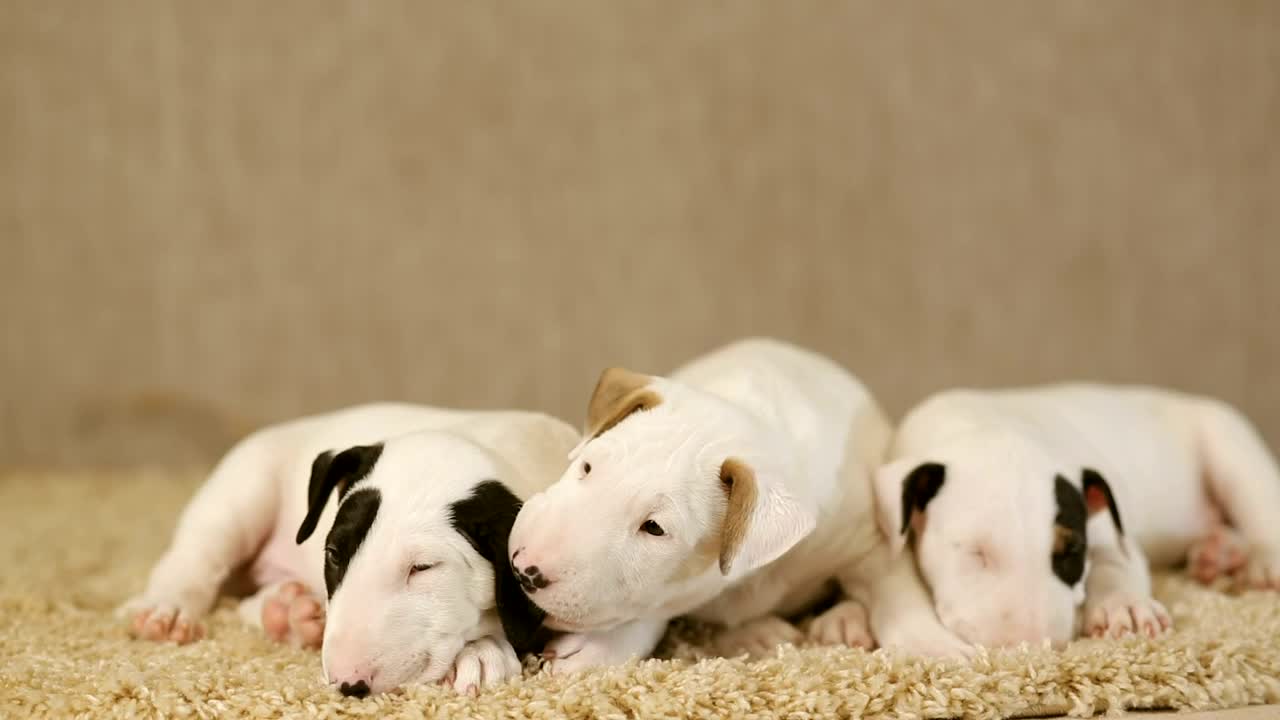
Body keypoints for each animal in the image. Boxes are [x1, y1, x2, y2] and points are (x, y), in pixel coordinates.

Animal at [120, 399, 581, 691]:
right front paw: (483, 652)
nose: (347, 683)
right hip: (242, 490)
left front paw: (484, 651)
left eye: (423, 568)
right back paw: (168, 609)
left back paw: (289, 612)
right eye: (334, 554)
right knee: (195, 558)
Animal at [509, 333, 967, 671]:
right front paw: (599, 647)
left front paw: (935, 648)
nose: (524, 571)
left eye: (654, 528)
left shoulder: (867, 534)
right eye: (587, 467)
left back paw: (840, 621)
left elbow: (898, 590)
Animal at [870, 381, 1280, 645]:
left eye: (1071, 552)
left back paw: (1260, 565)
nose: (1031, 646)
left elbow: (1115, 561)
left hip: (1230, 447)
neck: (987, 425)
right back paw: (1217, 554)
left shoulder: (1111, 529)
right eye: (975, 553)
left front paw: (1124, 608)